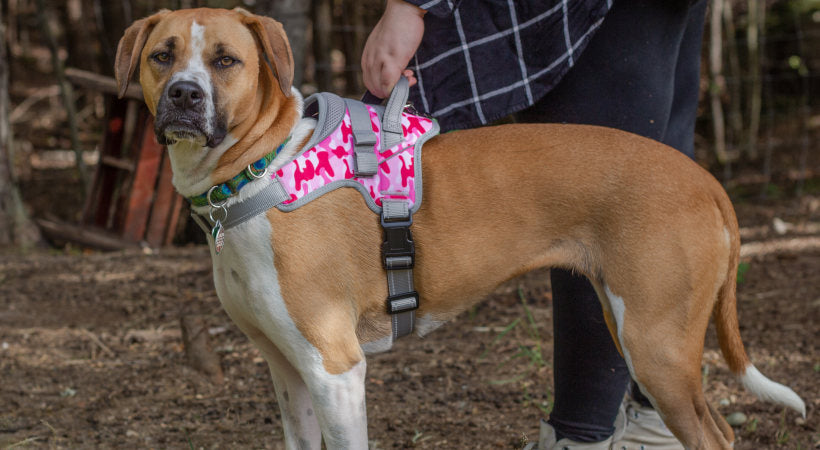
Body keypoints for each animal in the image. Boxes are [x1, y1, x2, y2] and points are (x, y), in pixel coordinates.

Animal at [117, 7, 808, 450]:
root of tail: (704, 178)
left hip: (656, 345)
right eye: (162, 56)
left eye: (225, 61)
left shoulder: (336, 370)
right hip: (629, 324)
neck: (259, 170)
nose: (184, 95)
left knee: (716, 436)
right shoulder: (287, 371)